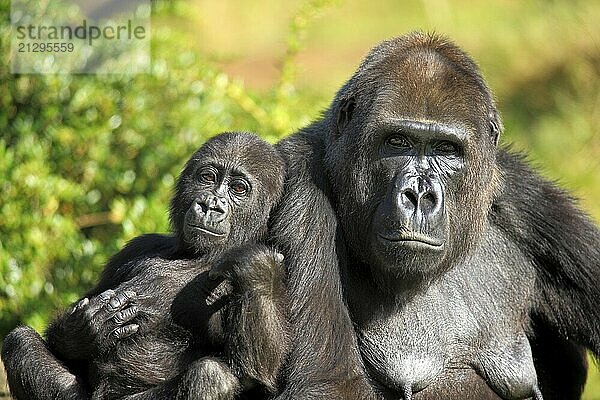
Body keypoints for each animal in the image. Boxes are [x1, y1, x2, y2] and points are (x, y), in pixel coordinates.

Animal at [1, 132, 288, 400]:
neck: (194, 254)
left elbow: (257, 373)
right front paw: (84, 329)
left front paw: (254, 267)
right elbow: (67, 343)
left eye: (238, 188)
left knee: (211, 376)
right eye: (208, 177)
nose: (210, 206)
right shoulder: (136, 248)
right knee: (19, 341)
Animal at [270, 32, 600, 400]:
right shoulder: (301, 184)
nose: (418, 197)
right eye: (397, 142)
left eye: (446, 149)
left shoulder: (530, 199)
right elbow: (330, 384)